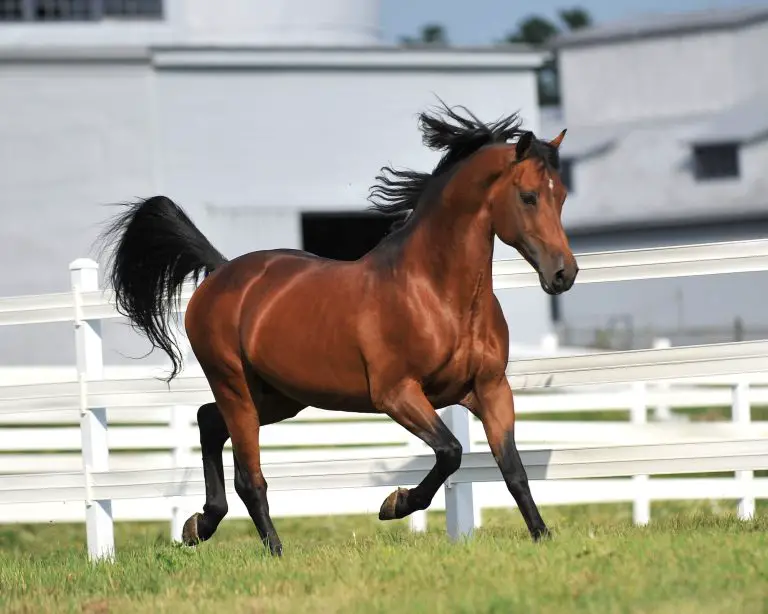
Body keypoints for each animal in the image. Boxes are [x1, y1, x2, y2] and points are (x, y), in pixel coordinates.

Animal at [98, 103, 577, 557]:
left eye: (563, 197)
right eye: (529, 196)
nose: (564, 274)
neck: (437, 294)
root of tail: (220, 272)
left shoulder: (490, 389)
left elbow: (512, 469)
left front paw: (542, 536)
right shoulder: (397, 394)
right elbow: (451, 452)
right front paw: (395, 504)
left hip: (279, 398)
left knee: (207, 421)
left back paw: (199, 524)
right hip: (235, 387)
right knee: (250, 477)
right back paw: (273, 551)